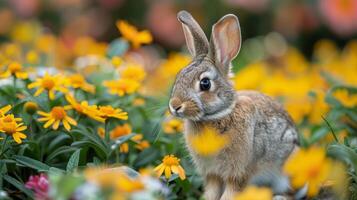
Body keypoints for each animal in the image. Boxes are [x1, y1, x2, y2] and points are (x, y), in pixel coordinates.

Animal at [168, 10, 298, 200]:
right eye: (179, 76)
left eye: (205, 83)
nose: (175, 105)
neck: (218, 115)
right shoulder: (212, 174)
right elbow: (212, 191)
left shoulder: (238, 173)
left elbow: (230, 193)